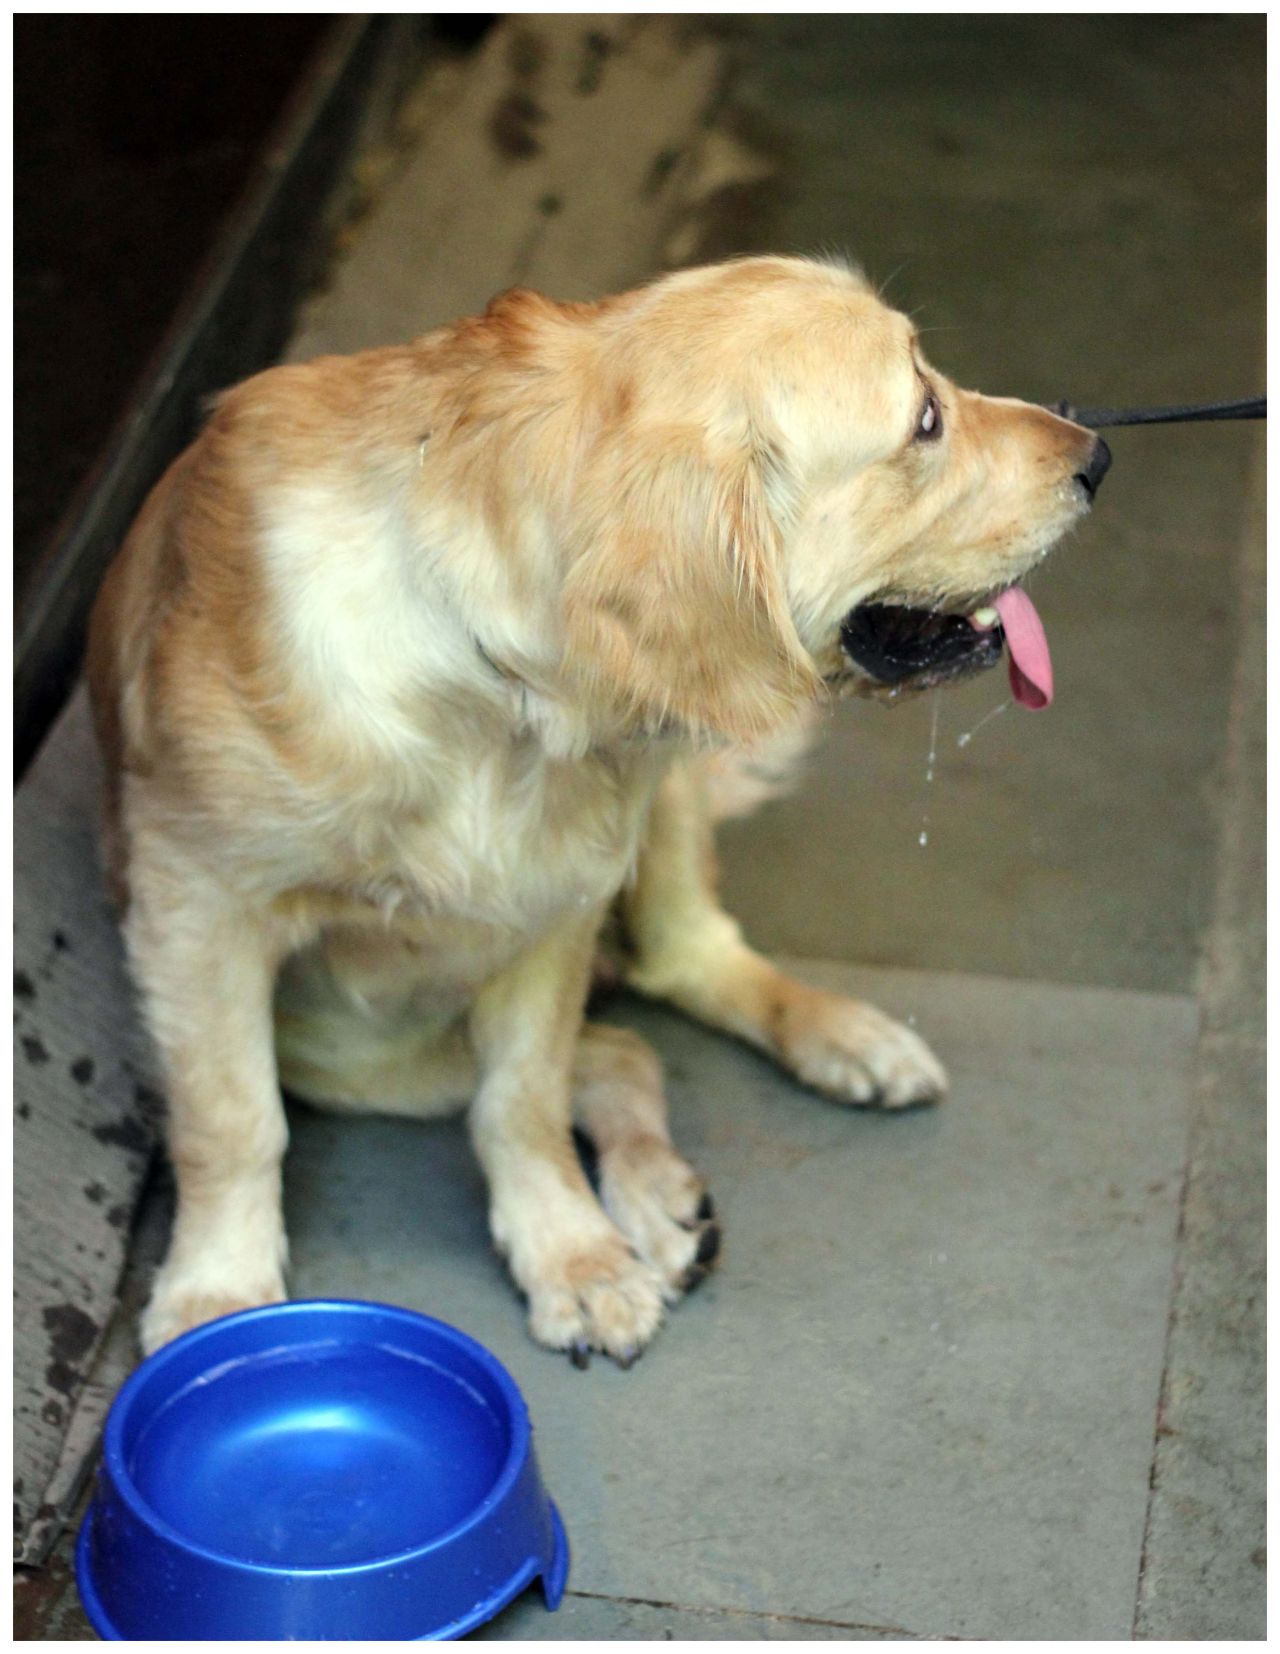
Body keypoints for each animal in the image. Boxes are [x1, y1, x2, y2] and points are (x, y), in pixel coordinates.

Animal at [92, 258, 1111, 1362]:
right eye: (924, 418)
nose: (1099, 454)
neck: (495, 695)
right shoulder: (195, 911)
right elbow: (233, 1120)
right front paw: (219, 1290)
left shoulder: (555, 906)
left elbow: (523, 1103)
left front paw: (570, 1254)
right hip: (350, 1051)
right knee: (619, 1044)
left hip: (659, 813)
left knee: (682, 967)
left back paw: (826, 1051)